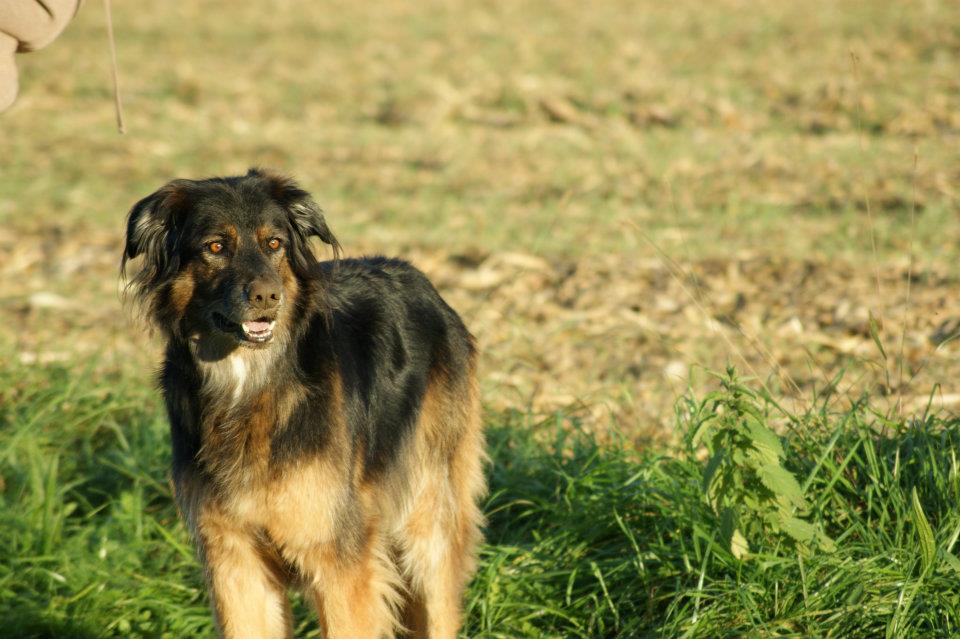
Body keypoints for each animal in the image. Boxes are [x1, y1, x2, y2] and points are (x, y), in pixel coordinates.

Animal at [121, 170, 488, 639]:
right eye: (215, 247)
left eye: (274, 243)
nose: (267, 297)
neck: (248, 383)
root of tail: (422, 280)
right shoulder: (234, 561)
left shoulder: (338, 561)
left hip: (428, 521)